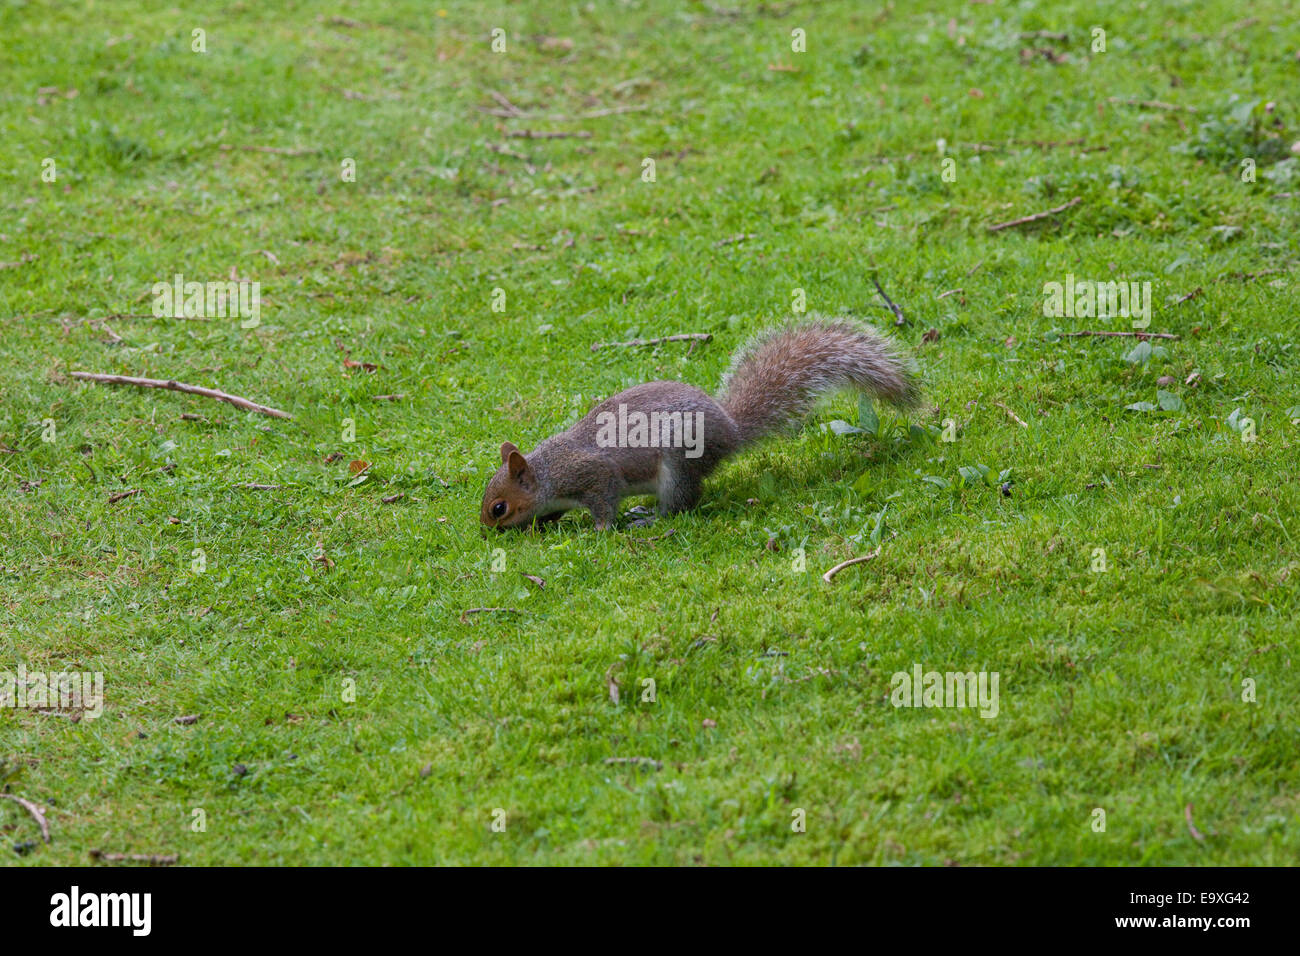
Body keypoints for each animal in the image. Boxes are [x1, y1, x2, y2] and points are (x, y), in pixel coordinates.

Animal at [480, 319, 925, 530]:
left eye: (499, 508)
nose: (487, 530)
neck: (547, 472)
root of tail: (730, 432)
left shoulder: (591, 474)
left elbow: (604, 500)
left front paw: (599, 529)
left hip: (679, 461)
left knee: (682, 504)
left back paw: (651, 518)